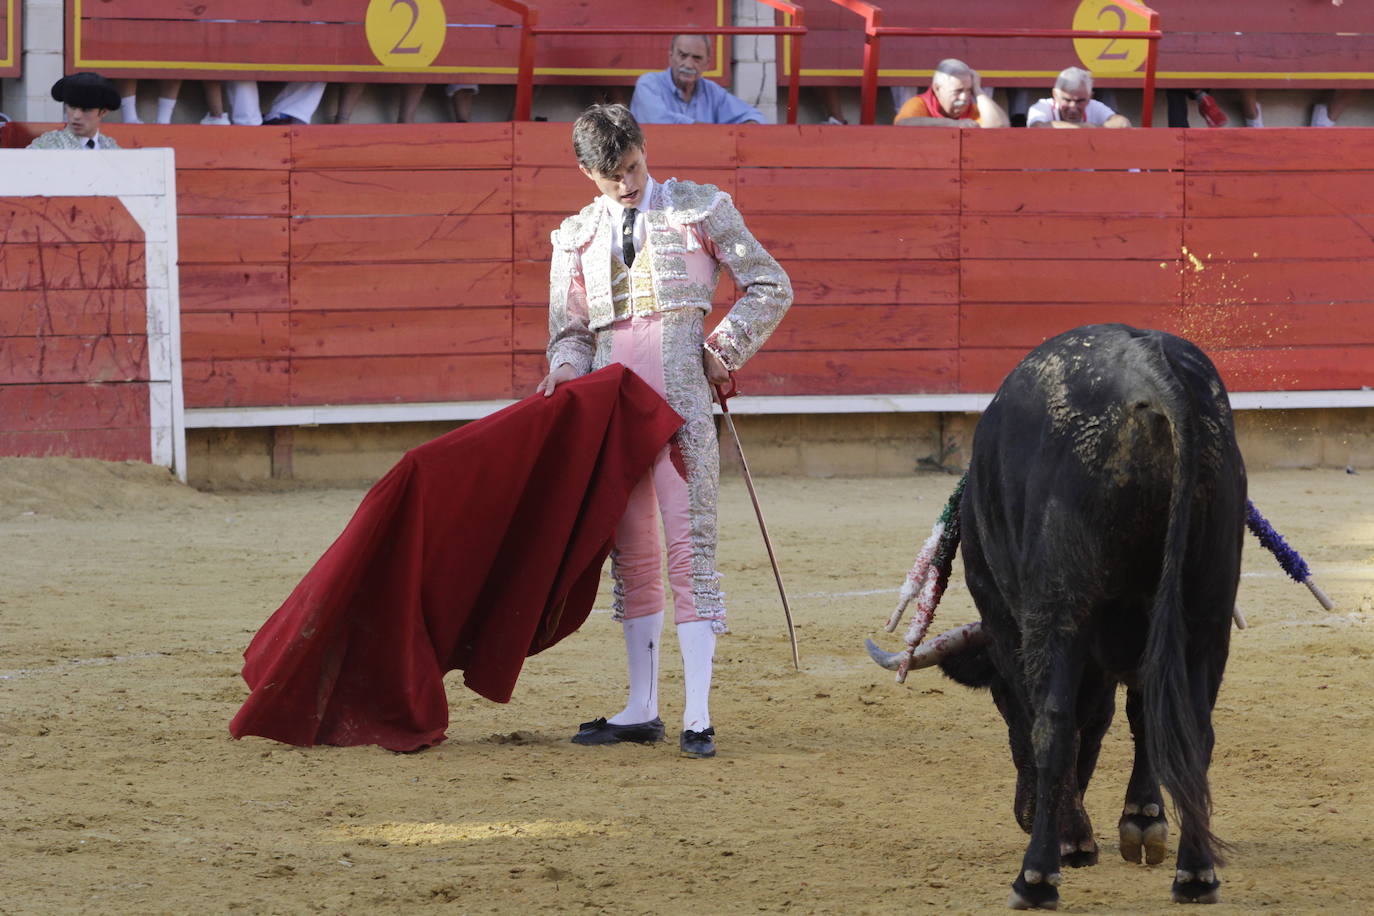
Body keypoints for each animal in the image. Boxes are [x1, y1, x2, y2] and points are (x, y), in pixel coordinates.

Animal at [879, 328, 1247, 911]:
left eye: (999, 698)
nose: (1024, 813)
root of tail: (1151, 373)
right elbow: (1142, 716)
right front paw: (1142, 821)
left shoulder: (1009, 623)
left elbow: (1054, 722)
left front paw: (1075, 840)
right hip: (1206, 602)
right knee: (1194, 727)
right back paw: (1196, 874)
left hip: (1059, 605)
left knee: (1054, 724)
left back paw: (1036, 876)